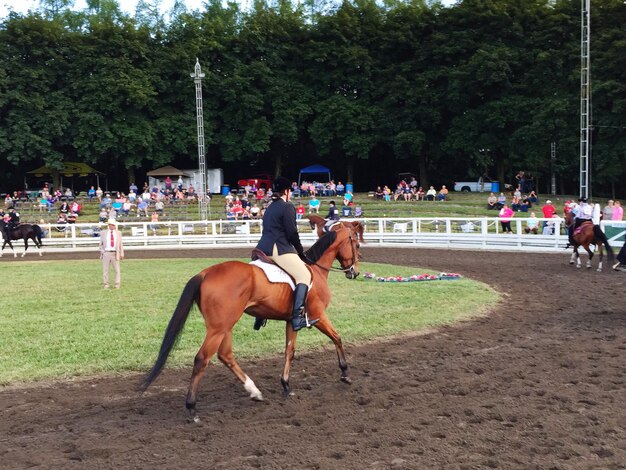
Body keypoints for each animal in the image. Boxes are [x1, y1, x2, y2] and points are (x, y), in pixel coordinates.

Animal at [138, 222, 358, 420]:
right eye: (355, 242)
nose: (354, 272)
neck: (315, 270)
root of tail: (205, 273)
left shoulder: (292, 320)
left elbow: (290, 351)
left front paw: (286, 385)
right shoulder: (318, 315)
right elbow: (337, 338)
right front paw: (345, 373)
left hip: (224, 327)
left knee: (225, 355)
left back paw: (254, 391)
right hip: (219, 328)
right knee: (202, 359)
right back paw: (192, 408)